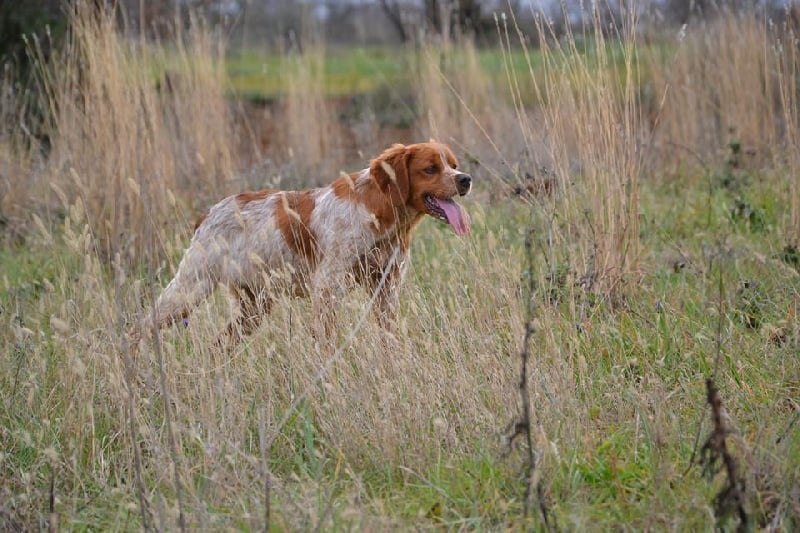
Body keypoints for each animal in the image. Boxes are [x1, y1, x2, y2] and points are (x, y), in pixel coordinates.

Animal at [137, 141, 472, 348]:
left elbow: (389, 338)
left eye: (454, 164)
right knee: (139, 328)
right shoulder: (328, 285)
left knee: (218, 346)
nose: (465, 179)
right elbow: (326, 341)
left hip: (253, 306)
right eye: (430, 168)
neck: (379, 212)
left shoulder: (386, 286)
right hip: (188, 290)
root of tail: (206, 215)